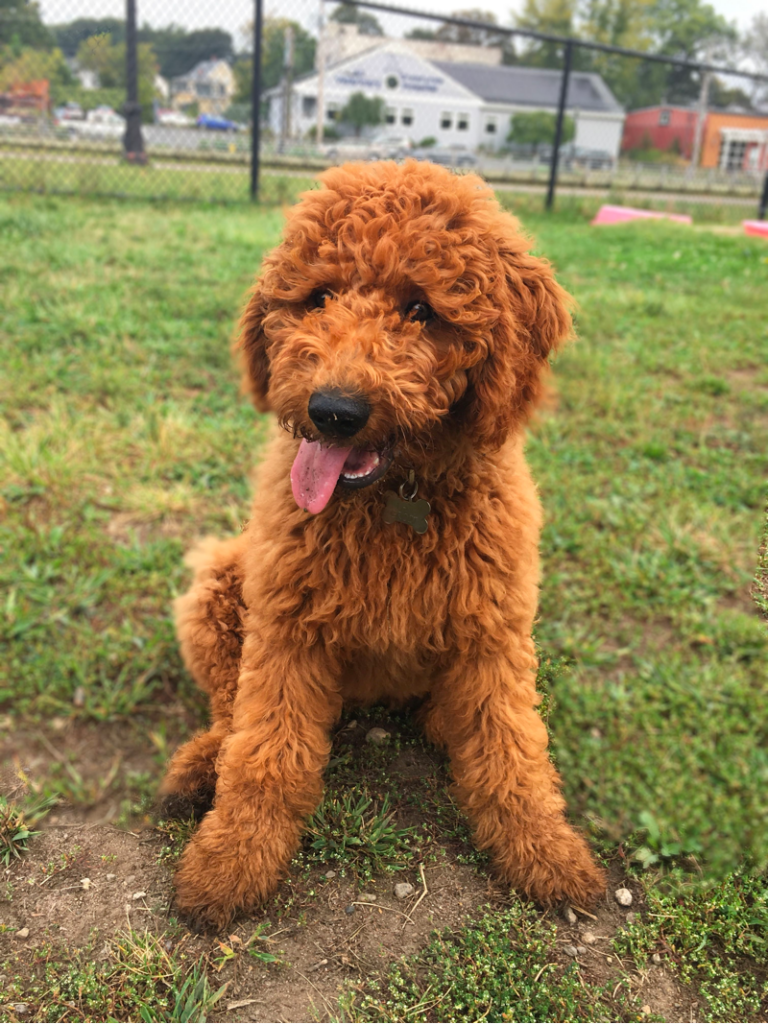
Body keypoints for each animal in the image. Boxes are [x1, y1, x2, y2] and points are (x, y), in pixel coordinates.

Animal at [162, 159, 606, 929]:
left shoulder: (493, 634)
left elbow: (512, 752)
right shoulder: (286, 631)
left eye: (421, 309)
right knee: (228, 710)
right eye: (317, 298)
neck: (394, 500)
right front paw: (229, 863)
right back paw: (199, 767)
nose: (333, 411)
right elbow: (264, 756)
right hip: (221, 580)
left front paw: (546, 854)